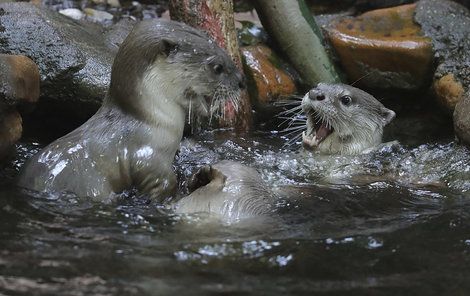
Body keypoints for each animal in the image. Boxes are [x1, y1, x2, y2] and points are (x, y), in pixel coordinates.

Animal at [18, 19, 244, 201]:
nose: (242, 83)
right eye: (217, 67)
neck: (152, 122)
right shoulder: (150, 161)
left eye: (227, 54)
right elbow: (164, 185)